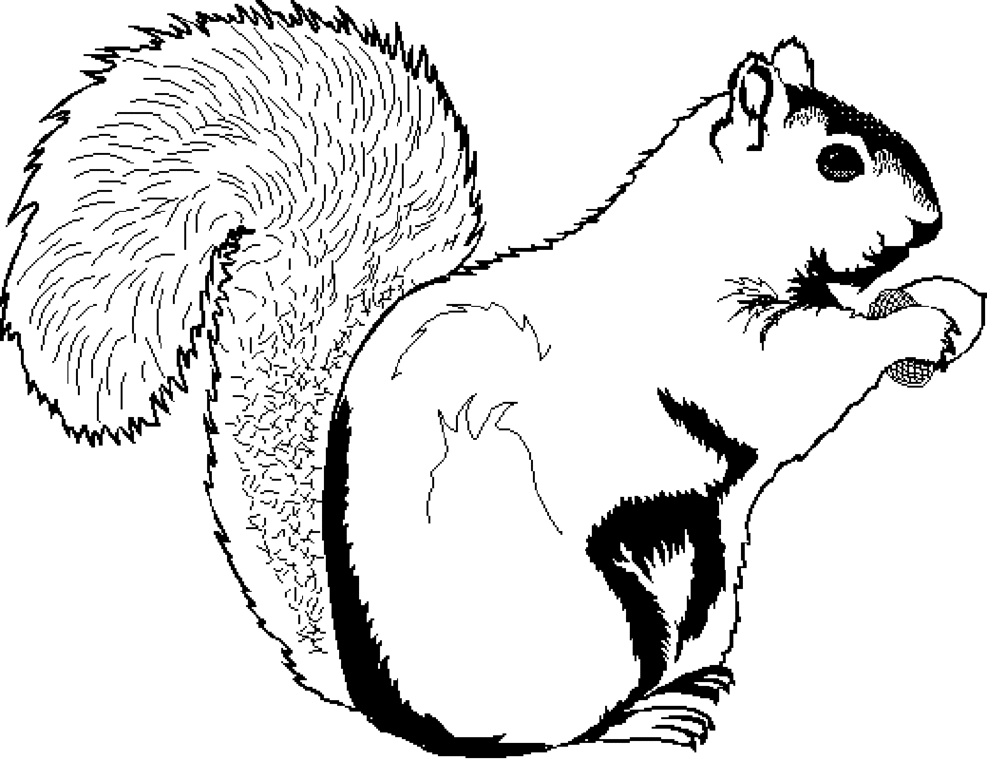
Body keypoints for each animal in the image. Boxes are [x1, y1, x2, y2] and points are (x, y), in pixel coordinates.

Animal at [1, 1, 975, 755]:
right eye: (837, 161)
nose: (931, 222)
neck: (701, 234)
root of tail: (385, 703)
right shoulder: (700, 339)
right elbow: (785, 375)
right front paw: (916, 321)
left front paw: (946, 300)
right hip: (580, 617)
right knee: (542, 739)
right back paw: (633, 729)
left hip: (708, 588)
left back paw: (681, 694)